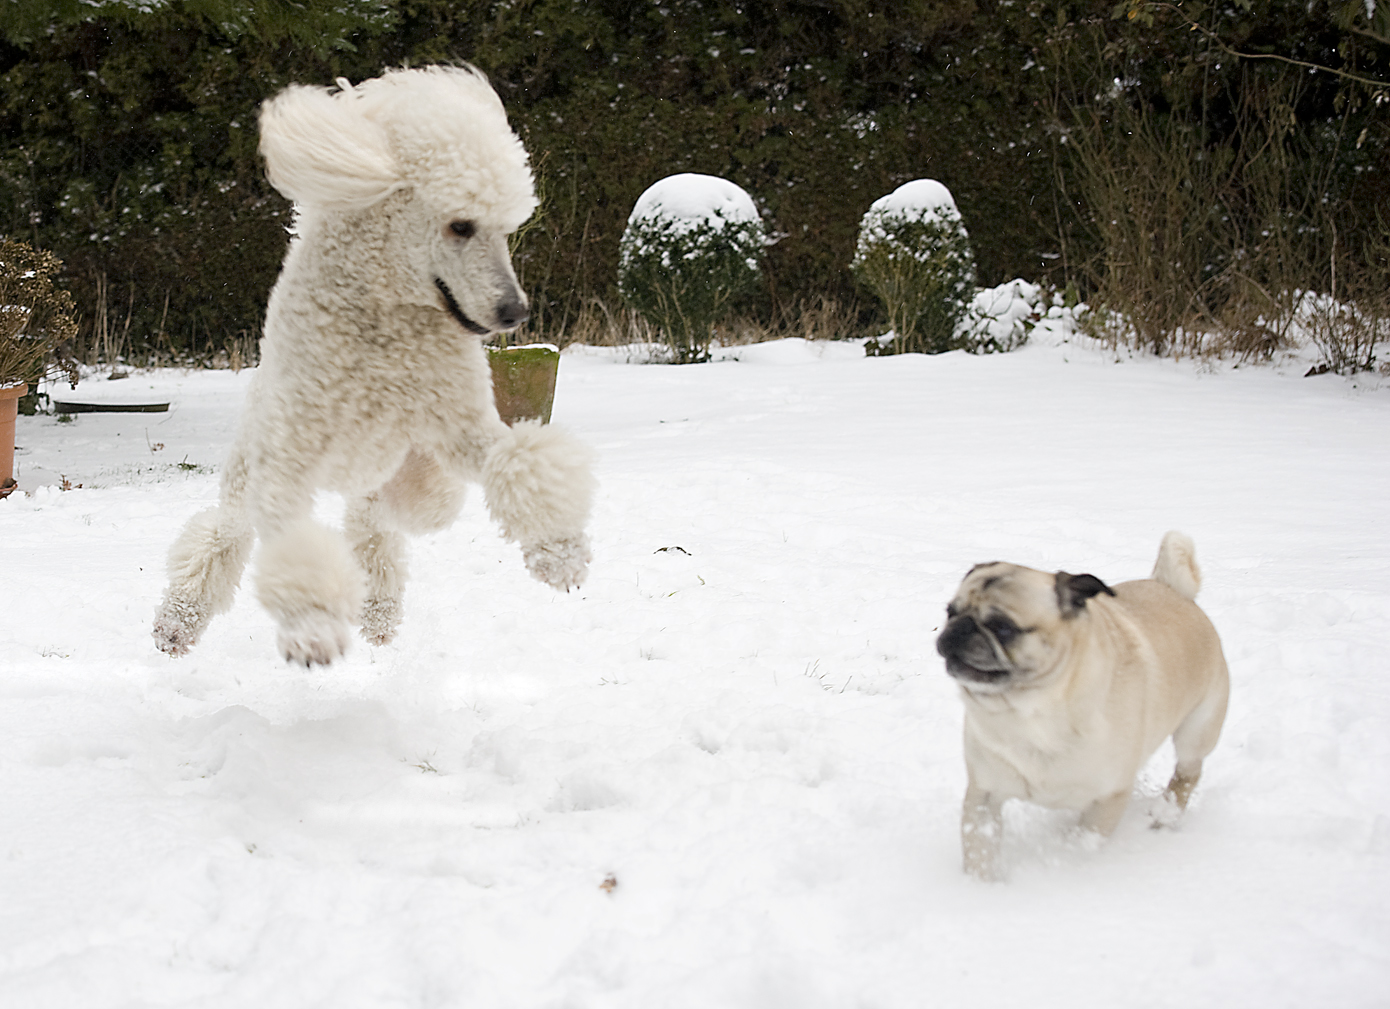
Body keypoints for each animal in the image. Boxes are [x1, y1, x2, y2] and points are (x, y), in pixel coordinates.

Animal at [153, 63, 597, 664]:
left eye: (505, 228)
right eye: (461, 225)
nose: (514, 312)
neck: (384, 319)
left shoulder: (463, 430)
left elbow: (520, 462)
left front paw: (561, 553)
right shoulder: (286, 467)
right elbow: (290, 546)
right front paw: (312, 627)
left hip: (389, 483)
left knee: (381, 531)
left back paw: (381, 613)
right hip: (251, 474)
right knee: (221, 536)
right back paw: (176, 623)